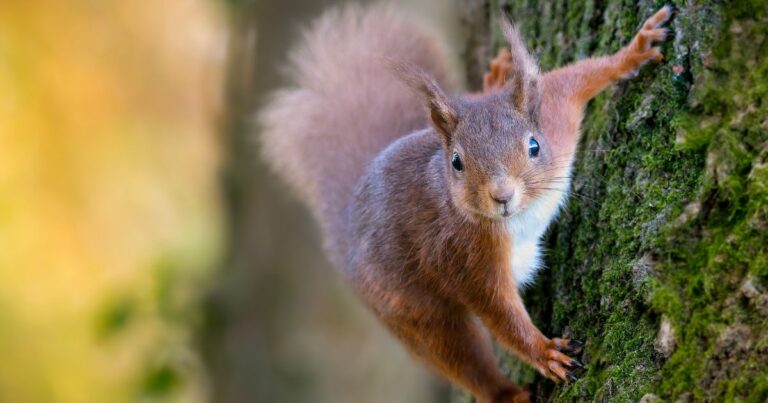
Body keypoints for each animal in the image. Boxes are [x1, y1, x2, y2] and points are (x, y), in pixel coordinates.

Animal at [261, 4, 672, 402]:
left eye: (534, 145)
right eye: (457, 162)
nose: (502, 196)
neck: (522, 213)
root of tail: (348, 226)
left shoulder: (556, 116)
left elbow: (576, 77)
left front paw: (635, 50)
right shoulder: (462, 255)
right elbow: (499, 313)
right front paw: (544, 353)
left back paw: (494, 78)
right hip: (413, 312)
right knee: (461, 358)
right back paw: (508, 395)